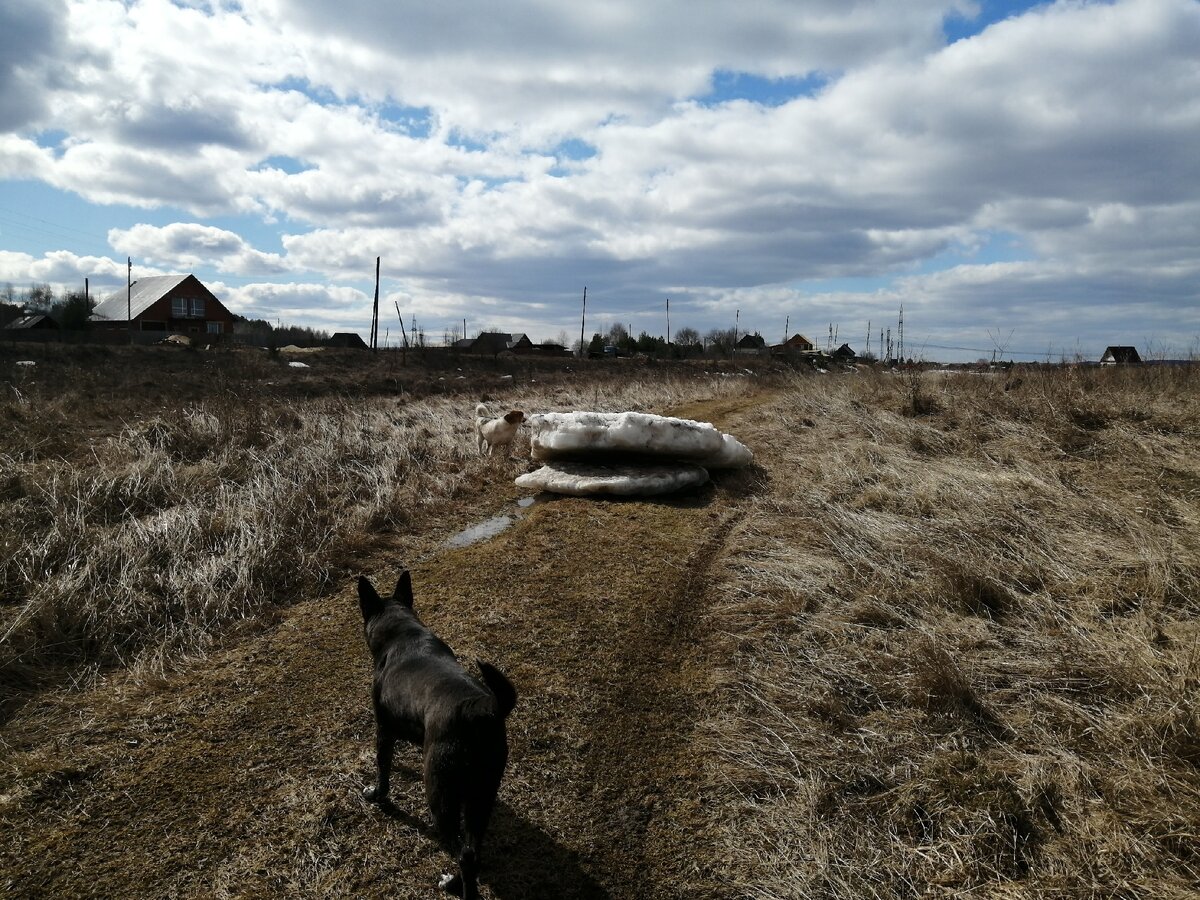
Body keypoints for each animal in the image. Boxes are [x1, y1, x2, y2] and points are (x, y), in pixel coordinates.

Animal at [355, 573, 516, 897]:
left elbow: (382, 767)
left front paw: (377, 795)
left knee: (462, 852)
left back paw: (457, 886)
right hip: (482, 794)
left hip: (440, 794)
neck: (402, 633)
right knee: (473, 849)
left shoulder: (383, 728)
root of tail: (480, 708)